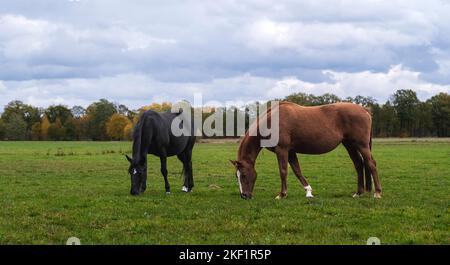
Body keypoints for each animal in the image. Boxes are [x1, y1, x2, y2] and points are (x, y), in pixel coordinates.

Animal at [230, 100, 382, 198]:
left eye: (243, 175)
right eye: (236, 176)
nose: (244, 196)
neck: (271, 122)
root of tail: (364, 110)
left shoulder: (282, 150)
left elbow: (283, 171)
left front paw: (282, 194)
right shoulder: (291, 152)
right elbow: (297, 171)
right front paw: (308, 191)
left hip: (361, 145)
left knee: (371, 164)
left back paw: (377, 192)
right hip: (349, 145)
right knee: (359, 165)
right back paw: (359, 192)